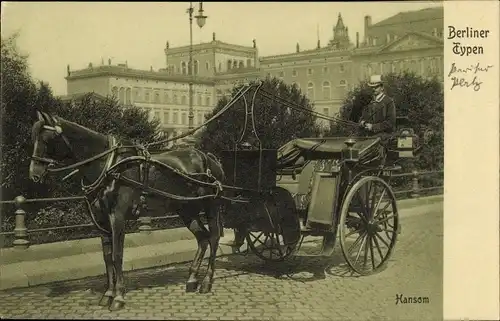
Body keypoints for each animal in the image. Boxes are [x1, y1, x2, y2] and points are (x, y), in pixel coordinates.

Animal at [28, 110, 227, 310]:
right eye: (33, 138)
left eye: (47, 139)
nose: (34, 174)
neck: (109, 166)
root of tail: (209, 158)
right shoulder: (101, 221)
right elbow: (107, 257)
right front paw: (108, 294)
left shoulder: (117, 217)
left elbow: (117, 256)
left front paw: (118, 297)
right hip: (187, 209)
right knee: (202, 238)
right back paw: (192, 279)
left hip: (211, 205)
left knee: (213, 237)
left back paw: (206, 281)